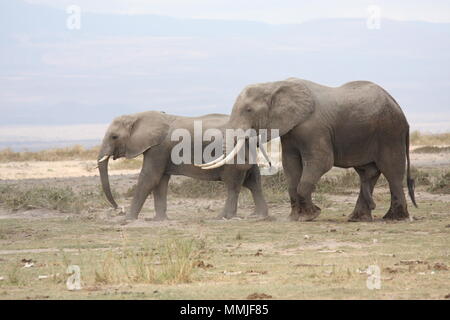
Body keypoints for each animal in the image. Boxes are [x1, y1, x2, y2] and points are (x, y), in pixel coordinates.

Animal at [97, 111, 268, 221]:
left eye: (114, 137)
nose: (118, 208)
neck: (137, 116)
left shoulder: (158, 148)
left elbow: (149, 178)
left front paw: (128, 219)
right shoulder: (161, 151)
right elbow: (160, 181)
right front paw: (159, 220)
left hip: (233, 156)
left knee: (233, 185)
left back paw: (223, 217)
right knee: (254, 181)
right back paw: (260, 216)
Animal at [200, 79, 418, 221]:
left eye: (248, 110)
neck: (274, 85)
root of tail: (400, 108)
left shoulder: (314, 127)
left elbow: (321, 161)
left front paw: (312, 215)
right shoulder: (290, 131)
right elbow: (290, 165)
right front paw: (296, 217)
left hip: (389, 132)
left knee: (392, 171)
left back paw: (395, 218)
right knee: (368, 172)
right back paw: (359, 218)